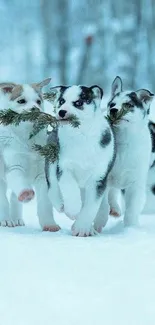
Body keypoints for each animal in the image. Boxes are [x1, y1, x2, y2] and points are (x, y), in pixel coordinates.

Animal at [0, 78, 59, 230]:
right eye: (22, 101)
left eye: (38, 101)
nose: (35, 109)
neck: (27, 137)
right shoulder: (15, 166)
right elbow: (19, 183)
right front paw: (26, 193)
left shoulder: (42, 174)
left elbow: (45, 203)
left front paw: (50, 224)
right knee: (3, 199)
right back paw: (6, 220)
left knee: (14, 198)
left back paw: (16, 218)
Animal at [46, 83, 115, 235]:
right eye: (62, 101)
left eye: (78, 103)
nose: (61, 112)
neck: (81, 135)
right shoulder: (64, 167)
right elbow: (69, 187)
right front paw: (73, 210)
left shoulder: (99, 177)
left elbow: (91, 206)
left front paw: (82, 228)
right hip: (52, 157)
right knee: (52, 185)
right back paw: (60, 204)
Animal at [94, 75, 153, 230]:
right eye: (112, 104)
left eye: (128, 104)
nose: (113, 110)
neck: (124, 141)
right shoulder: (104, 177)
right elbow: (102, 204)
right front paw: (98, 223)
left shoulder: (136, 183)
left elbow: (132, 209)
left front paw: (130, 228)